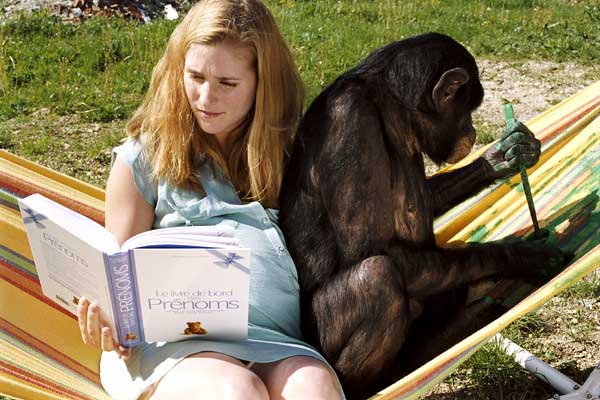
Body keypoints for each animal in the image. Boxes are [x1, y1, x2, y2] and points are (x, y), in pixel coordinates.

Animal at [278, 32, 568, 396]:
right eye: (469, 108)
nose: (472, 129)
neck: (390, 109)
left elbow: (428, 197)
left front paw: (506, 154)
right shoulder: (350, 124)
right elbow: (373, 249)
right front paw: (520, 255)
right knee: (376, 276)